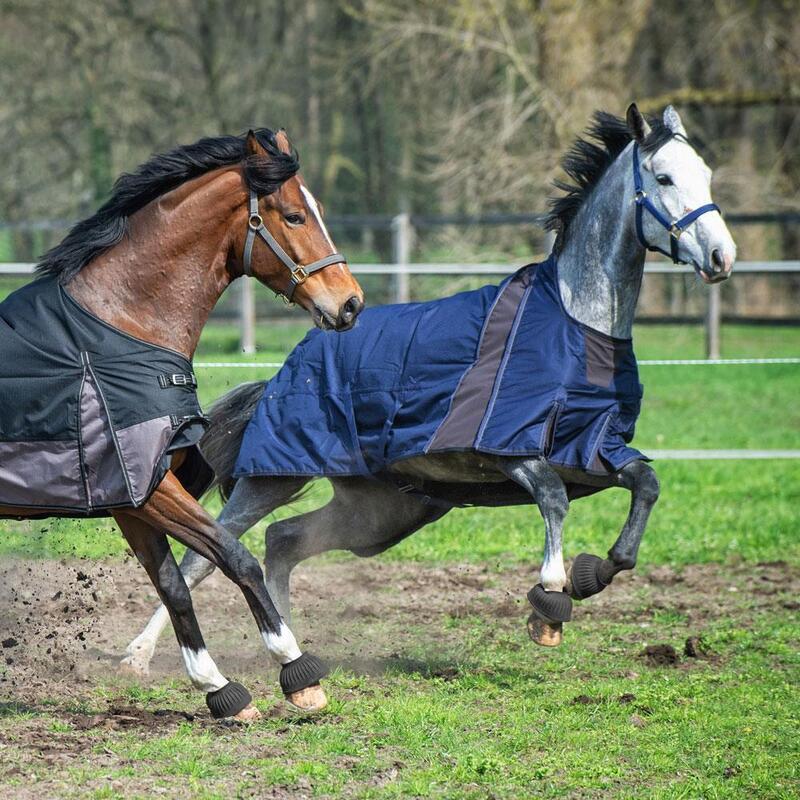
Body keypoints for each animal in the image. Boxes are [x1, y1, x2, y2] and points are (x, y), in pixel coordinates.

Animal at [1, 126, 364, 720]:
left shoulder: (134, 495)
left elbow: (173, 583)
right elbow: (234, 556)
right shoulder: (147, 487)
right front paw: (296, 671)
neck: (119, 327)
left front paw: (218, 688)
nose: (350, 303)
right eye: (293, 216)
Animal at [123, 103, 736, 672]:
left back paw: (288, 641)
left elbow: (645, 486)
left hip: (381, 512)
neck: (576, 325)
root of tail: (287, 367)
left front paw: (592, 574)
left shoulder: (590, 452)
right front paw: (549, 603)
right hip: (274, 478)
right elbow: (553, 499)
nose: (721, 257)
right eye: (664, 178)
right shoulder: (505, 450)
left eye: (706, 175)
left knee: (284, 540)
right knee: (209, 553)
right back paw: (143, 653)